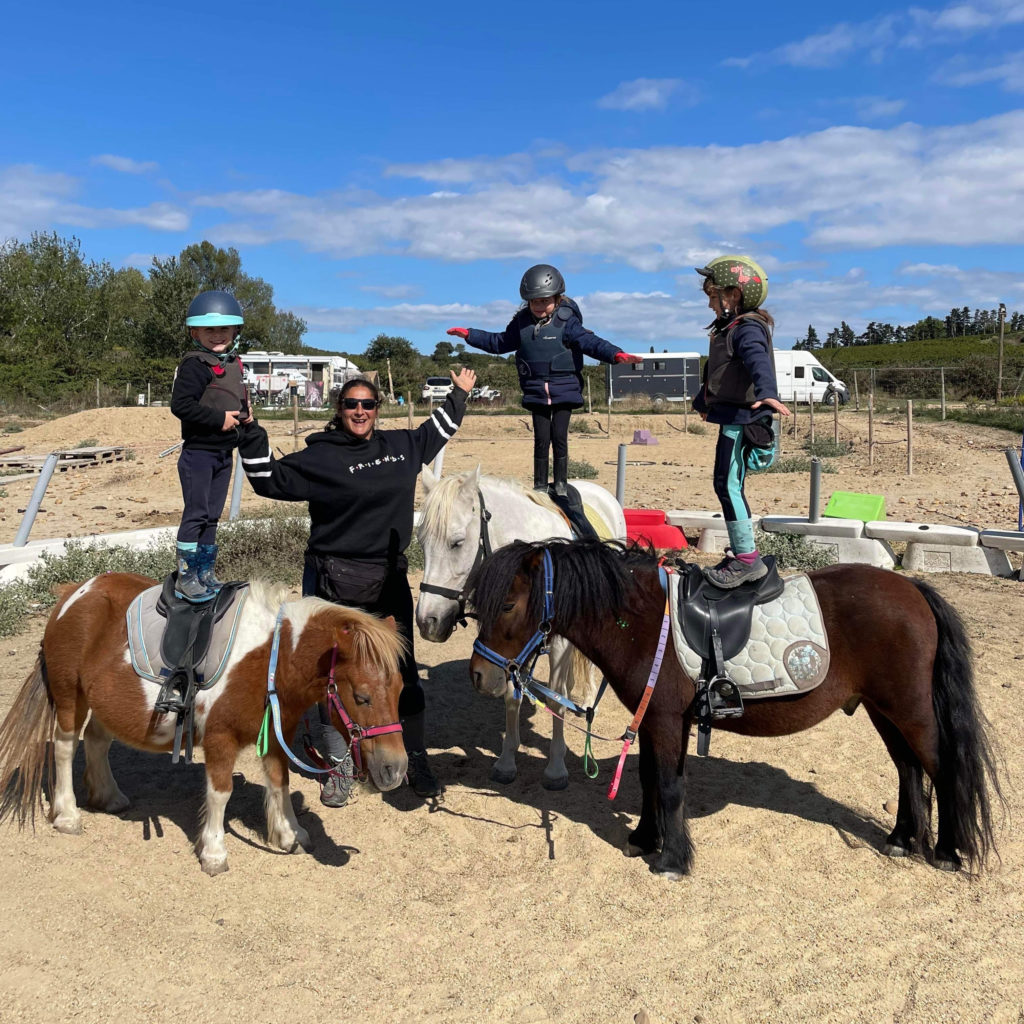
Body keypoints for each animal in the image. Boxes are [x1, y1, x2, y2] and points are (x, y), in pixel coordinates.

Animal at [0, 573, 407, 876]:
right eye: (362, 696)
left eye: (401, 689)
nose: (395, 770)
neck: (271, 659)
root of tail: (73, 593)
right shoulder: (219, 739)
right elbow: (220, 793)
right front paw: (214, 853)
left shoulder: (278, 736)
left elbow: (279, 783)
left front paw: (289, 835)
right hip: (70, 695)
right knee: (65, 746)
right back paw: (67, 815)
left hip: (106, 704)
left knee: (97, 741)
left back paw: (109, 797)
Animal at [413, 468, 622, 786]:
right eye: (421, 542)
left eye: (457, 542)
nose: (428, 622)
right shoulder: (504, 643)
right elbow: (512, 697)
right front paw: (506, 762)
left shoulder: (556, 639)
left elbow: (557, 701)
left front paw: (556, 768)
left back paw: (586, 699)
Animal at [468, 544, 1003, 880]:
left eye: (509, 604)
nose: (480, 675)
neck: (642, 620)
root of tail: (914, 591)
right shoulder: (656, 721)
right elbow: (650, 781)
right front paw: (644, 838)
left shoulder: (665, 719)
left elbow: (668, 786)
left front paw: (672, 860)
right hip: (882, 709)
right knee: (908, 767)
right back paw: (901, 839)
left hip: (909, 710)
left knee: (941, 767)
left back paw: (947, 852)